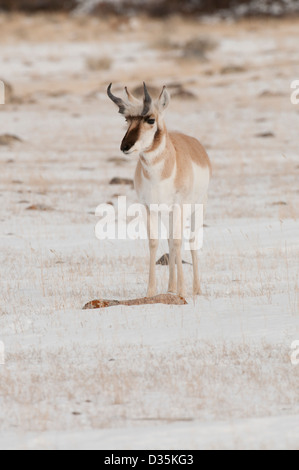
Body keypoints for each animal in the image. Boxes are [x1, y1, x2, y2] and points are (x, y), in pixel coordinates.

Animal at [107, 82, 211, 296]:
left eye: (150, 119)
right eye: (127, 119)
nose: (125, 146)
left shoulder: (179, 207)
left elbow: (179, 242)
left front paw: (182, 291)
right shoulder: (149, 208)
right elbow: (155, 241)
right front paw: (151, 291)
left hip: (197, 208)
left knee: (191, 241)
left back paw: (195, 288)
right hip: (168, 213)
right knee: (170, 241)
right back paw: (170, 287)